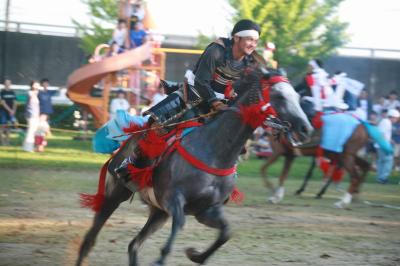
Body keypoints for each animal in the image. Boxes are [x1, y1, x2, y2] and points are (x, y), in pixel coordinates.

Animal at [75, 67, 312, 264]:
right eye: (279, 96)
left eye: (297, 96)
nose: (306, 128)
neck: (214, 151)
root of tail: (126, 143)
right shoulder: (174, 199)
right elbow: (179, 224)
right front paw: (162, 258)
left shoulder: (206, 210)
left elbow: (226, 232)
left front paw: (195, 254)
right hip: (115, 195)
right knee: (89, 240)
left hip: (158, 212)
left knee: (133, 245)